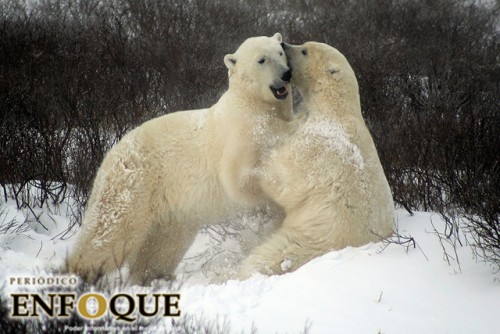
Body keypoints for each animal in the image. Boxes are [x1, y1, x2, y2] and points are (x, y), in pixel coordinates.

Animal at [68, 33, 298, 284]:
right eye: (261, 59)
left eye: (280, 52)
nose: (286, 74)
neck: (250, 103)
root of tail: (110, 154)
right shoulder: (239, 135)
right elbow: (238, 180)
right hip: (134, 183)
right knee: (111, 230)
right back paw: (80, 272)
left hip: (172, 210)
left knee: (164, 245)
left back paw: (153, 276)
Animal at [238, 40, 394, 278]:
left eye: (304, 50)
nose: (284, 43)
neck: (335, 109)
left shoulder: (318, 145)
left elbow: (285, 178)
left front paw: (260, 162)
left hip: (310, 239)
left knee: (271, 256)